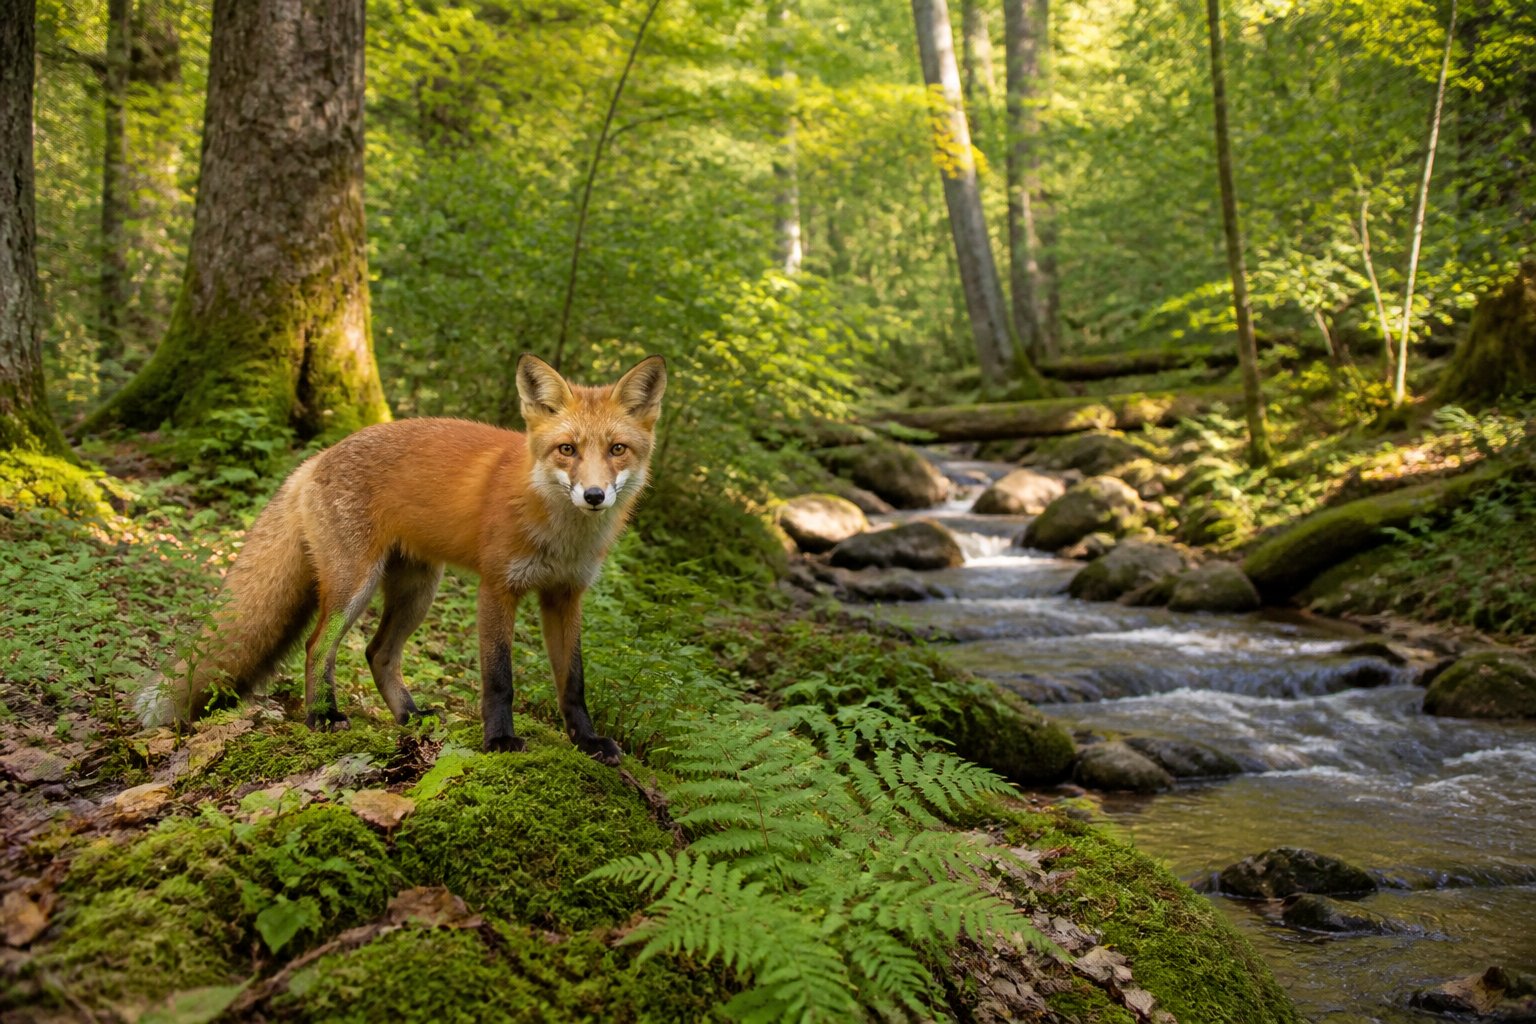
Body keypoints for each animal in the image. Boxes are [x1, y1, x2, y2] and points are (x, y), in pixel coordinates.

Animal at [137, 353, 667, 766]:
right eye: (567, 449)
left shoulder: (565, 595)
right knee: (317, 646)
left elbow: (573, 682)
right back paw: (322, 715)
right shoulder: (497, 587)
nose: (594, 496)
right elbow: (499, 678)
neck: (559, 532)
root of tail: (317, 457)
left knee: (378, 653)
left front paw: (587, 742)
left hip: (417, 592)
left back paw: (409, 716)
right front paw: (499, 740)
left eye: (617, 449)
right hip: (355, 585)